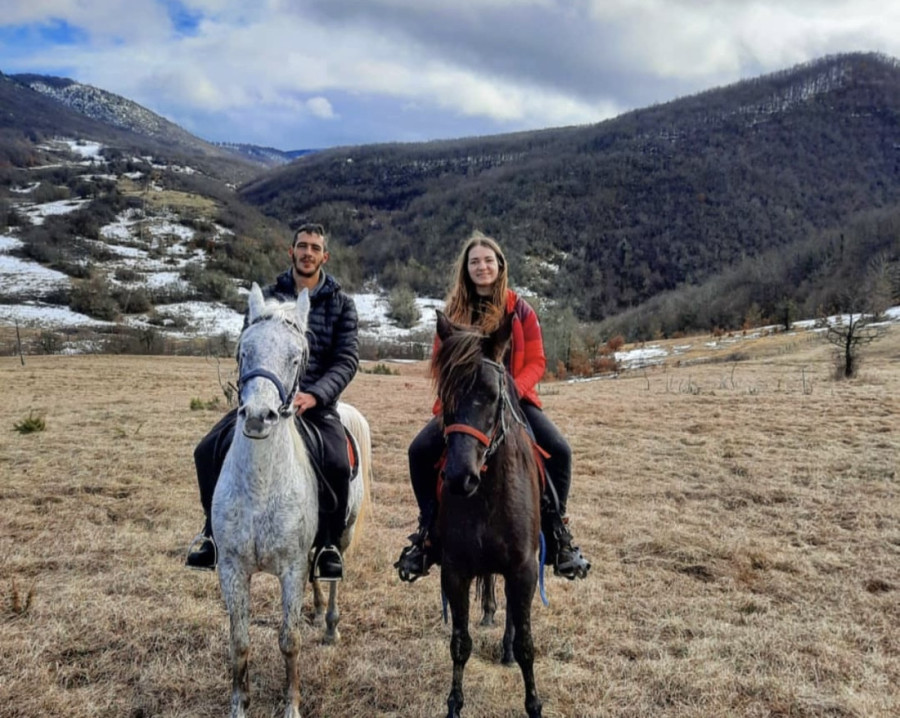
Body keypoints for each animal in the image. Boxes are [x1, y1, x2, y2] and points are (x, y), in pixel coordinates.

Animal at [212, 286, 372, 718]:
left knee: (332, 574)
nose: (257, 417)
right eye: (243, 351)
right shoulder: (232, 569)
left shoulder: (290, 569)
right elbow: (239, 642)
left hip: (345, 535)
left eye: (296, 356)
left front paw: (291, 706)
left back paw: (330, 624)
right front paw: (239, 705)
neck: (261, 485)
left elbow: (289, 641)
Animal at [432, 312, 544, 718]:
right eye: (443, 393)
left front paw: (534, 705)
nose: (458, 477)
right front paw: (453, 705)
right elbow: (459, 643)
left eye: (493, 396)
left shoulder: (524, 568)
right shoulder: (455, 570)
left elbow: (527, 644)